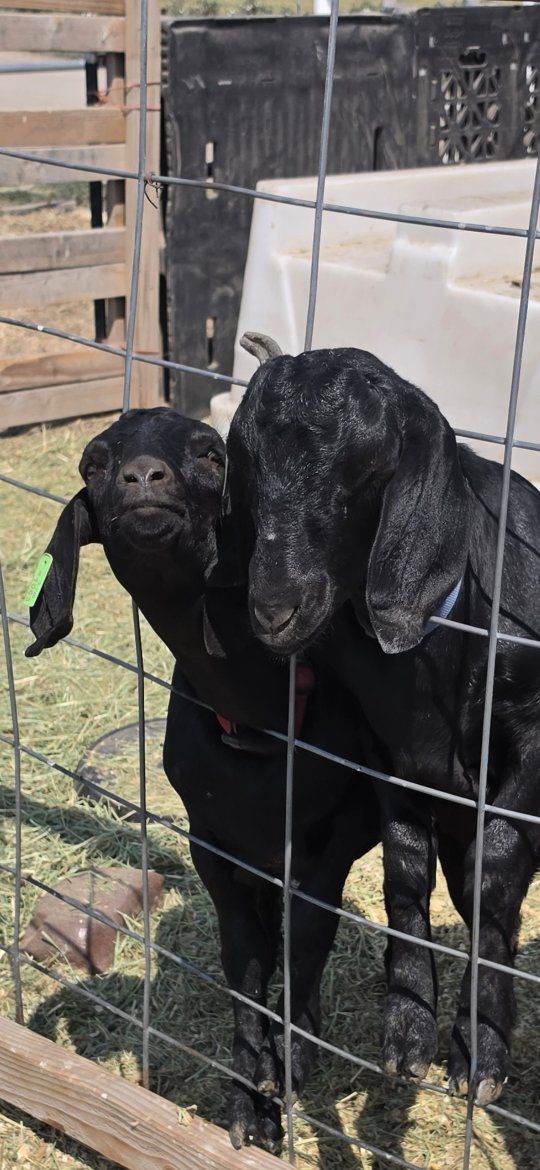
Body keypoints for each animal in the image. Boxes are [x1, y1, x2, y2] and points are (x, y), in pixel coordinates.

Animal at [26, 406, 380, 1151]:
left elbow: (303, 951)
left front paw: (291, 1064)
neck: (256, 723)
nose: (142, 478)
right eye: (95, 462)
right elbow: (244, 965)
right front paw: (249, 1103)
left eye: (212, 454)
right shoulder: (213, 846)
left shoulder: (322, 854)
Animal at [226, 334, 540, 1107]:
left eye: (370, 473)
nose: (273, 609)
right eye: (247, 467)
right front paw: (407, 1027)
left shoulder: (530, 736)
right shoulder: (387, 749)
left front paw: (482, 1050)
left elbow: (495, 874)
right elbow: (405, 867)